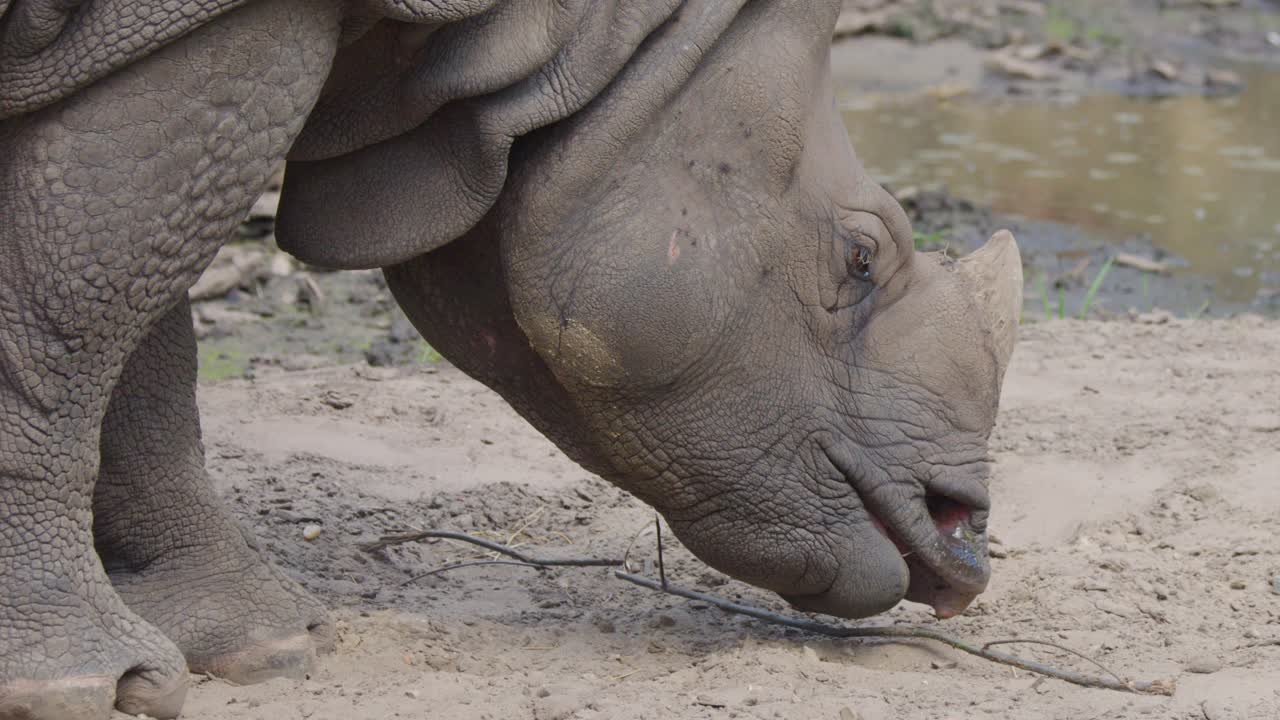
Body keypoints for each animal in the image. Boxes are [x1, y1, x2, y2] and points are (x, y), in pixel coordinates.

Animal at [0, 1, 1022, 718]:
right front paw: (73, 687)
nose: (963, 538)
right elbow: (75, 310)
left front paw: (260, 645)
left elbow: (141, 330)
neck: (568, 38)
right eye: (860, 258)